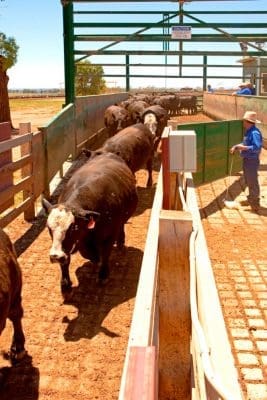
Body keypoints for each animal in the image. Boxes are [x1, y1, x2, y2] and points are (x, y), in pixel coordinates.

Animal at [42, 152, 138, 296]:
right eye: (49, 228)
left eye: (73, 227)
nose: (55, 256)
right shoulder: (70, 245)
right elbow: (67, 261)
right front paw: (65, 285)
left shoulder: (109, 236)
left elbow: (105, 254)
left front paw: (103, 275)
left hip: (122, 221)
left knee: (121, 227)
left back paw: (121, 243)